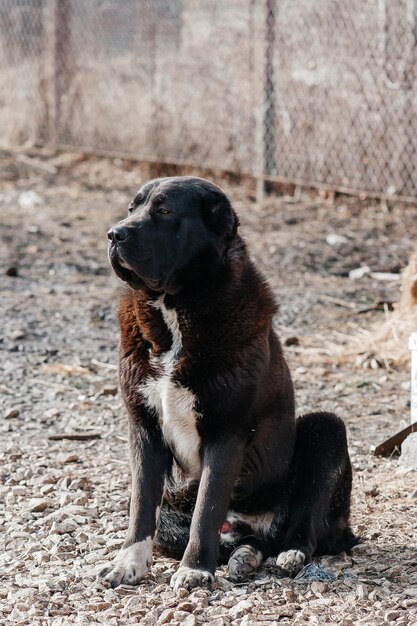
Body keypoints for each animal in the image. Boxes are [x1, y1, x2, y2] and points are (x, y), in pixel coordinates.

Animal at [99, 177, 356, 588]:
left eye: (165, 210)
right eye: (131, 208)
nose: (114, 234)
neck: (176, 308)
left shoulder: (226, 434)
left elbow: (207, 509)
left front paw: (194, 570)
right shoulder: (143, 429)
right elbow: (141, 507)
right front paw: (128, 563)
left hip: (326, 428)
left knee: (305, 528)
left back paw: (288, 554)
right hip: (176, 501)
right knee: (230, 536)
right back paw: (244, 557)